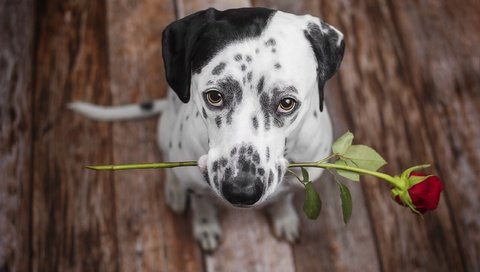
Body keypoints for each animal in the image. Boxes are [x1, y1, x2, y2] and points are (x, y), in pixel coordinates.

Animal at [68, 6, 344, 253]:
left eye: (287, 103)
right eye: (214, 96)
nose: (241, 191)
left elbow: (284, 197)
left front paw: (284, 216)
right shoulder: (197, 185)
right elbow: (201, 204)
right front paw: (205, 225)